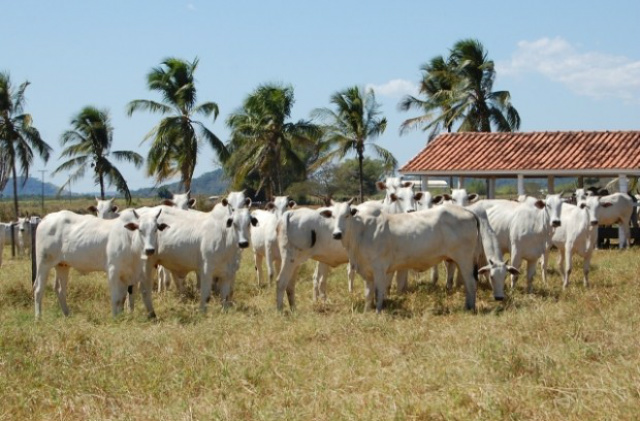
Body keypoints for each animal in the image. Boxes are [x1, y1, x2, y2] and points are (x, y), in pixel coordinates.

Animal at [32, 208, 165, 316]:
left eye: (155, 230)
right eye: (140, 230)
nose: (150, 250)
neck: (129, 239)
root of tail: (45, 219)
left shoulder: (127, 275)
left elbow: (122, 298)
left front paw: (122, 315)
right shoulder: (113, 271)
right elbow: (116, 298)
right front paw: (115, 317)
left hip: (62, 265)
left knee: (60, 289)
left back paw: (67, 314)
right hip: (43, 263)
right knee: (38, 289)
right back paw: (38, 317)